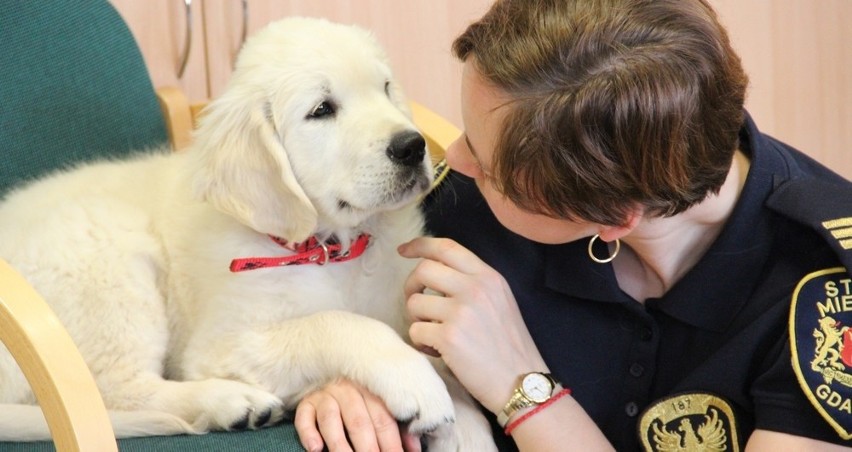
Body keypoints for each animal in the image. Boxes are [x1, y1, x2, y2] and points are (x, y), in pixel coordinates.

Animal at [0, 16, 492, 448]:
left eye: (386, 88)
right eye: (322, 110)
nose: (412, 146)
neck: (332, 249)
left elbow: (449, 368)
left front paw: (467, 430)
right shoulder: (221, 343)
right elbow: (336, 324)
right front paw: (415, 381)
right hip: (112, 267)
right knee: (118, 389)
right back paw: (231, 401)